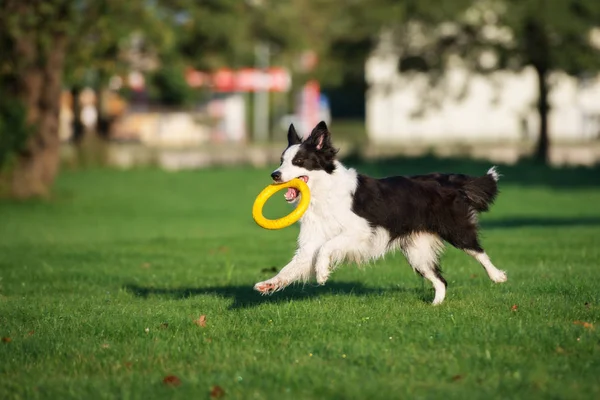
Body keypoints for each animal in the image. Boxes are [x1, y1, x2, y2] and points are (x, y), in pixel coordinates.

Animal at [253, 120, 506, 304]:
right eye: (281, 161)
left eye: (299, 160)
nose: (275, 175)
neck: (323, 194)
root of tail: (447, 179)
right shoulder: (311, 243)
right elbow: (292, 267)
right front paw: (268, 284)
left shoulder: (360, 231)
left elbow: (327, 247)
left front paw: (322, 272)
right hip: (417, 251)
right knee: (440, 280)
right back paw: (435, 305)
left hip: (455, 229)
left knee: (478, 251)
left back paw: (498, 276)